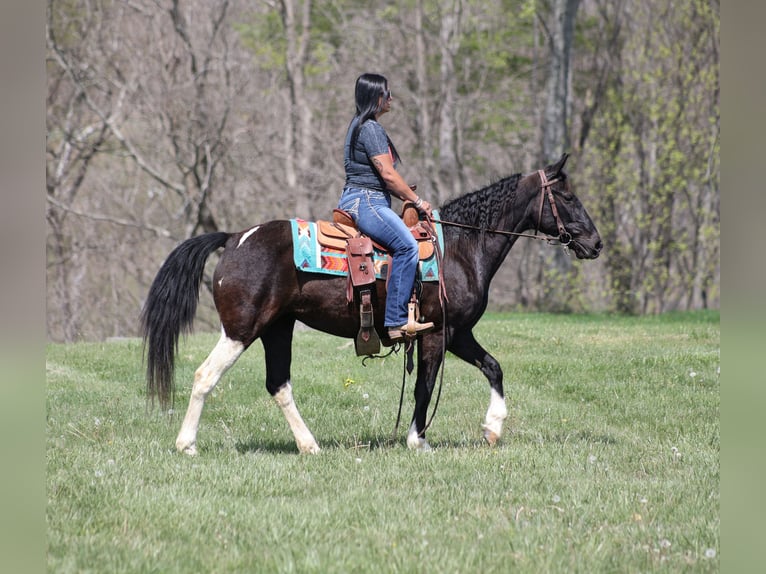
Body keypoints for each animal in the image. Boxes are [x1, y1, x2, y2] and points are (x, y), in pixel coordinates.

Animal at [141, 153, 602, 455]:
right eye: (569, 198)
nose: (596, 243)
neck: (459, 248)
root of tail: (235, 237)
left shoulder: (458, 333)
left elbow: (493, 367)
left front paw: (492, 429)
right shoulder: (438, 332)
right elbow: (425, 384)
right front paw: (418, 440)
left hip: (277, 328)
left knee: (279, 385)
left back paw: (310, 445)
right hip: (242, 329)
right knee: (205, 376)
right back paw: (186, 445)